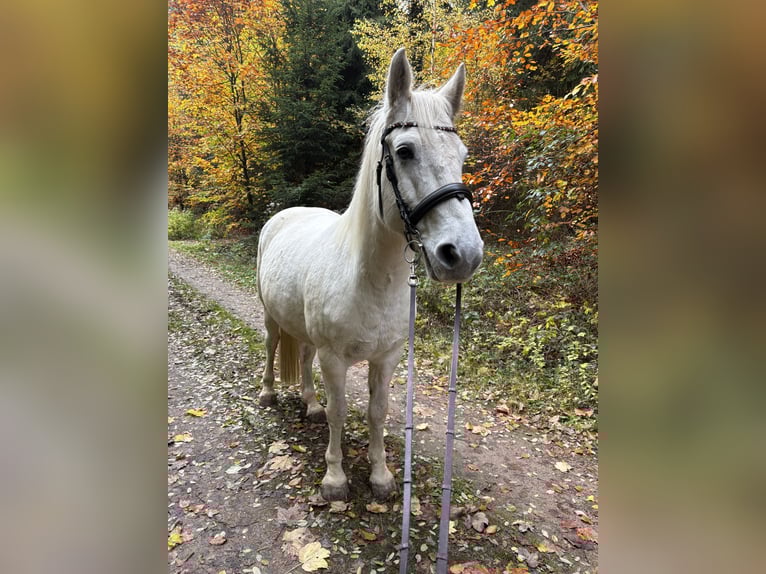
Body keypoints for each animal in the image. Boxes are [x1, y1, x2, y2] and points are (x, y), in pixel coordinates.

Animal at [256, 48, 483, 501]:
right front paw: (335, 478)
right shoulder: (335, 359)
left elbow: (378, 412)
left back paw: (309, 402)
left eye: (462, 154)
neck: (369, 280)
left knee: (302, 355)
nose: (463, 254)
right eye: (405, 150)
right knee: (272, 346)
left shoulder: (387, 357)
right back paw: (269, 392)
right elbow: (340, 412)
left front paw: (380, 475)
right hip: (272, 316)